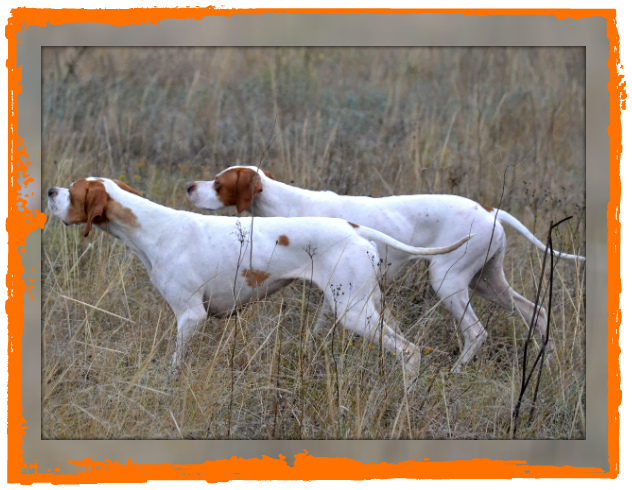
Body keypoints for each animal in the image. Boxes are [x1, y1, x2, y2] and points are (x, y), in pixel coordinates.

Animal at [47, 176, 470, 386]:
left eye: (75, 192)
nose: (50, 190)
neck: (153, 229)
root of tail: (353, 227)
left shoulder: (190, 317)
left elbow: (175, 364)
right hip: (364, 306)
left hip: (355, 313)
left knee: (410, 352)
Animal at [185, 165, 584, 372]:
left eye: (218, 184)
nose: (189, 185)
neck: (289, 205)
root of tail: (491, 212)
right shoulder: (342, 296)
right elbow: (318, 334)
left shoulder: (341, 291)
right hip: (488, 281)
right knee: (537, 312)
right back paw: (545, 364)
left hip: (448, 280)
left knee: (477, 332)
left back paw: (456, 373)